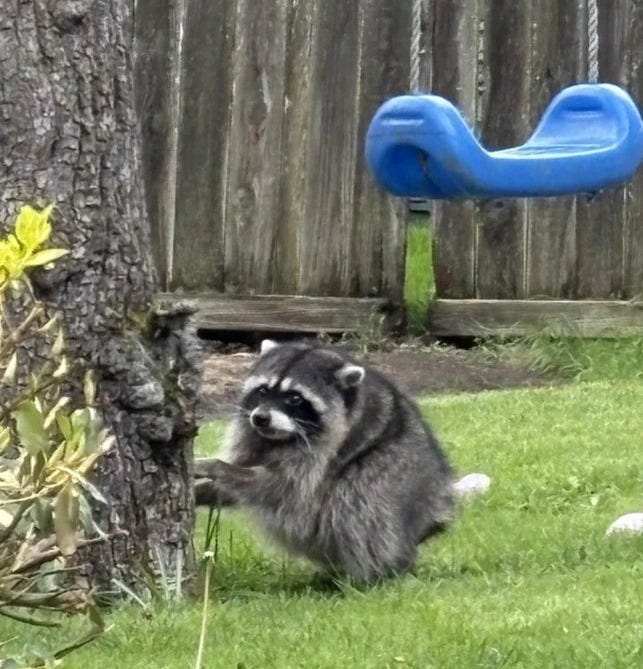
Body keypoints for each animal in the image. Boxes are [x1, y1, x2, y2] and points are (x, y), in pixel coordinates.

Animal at [195, 339, 454, 581]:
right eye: (262, 391)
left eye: (295, 398)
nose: (260, 418)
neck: (281, 438)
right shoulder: (253, 436)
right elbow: (237, 483)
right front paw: (203, 489)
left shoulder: (324, 452)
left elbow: (282, 489)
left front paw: (218, 467)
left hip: (395, 477)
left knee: (357, 499)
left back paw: (370, 574)